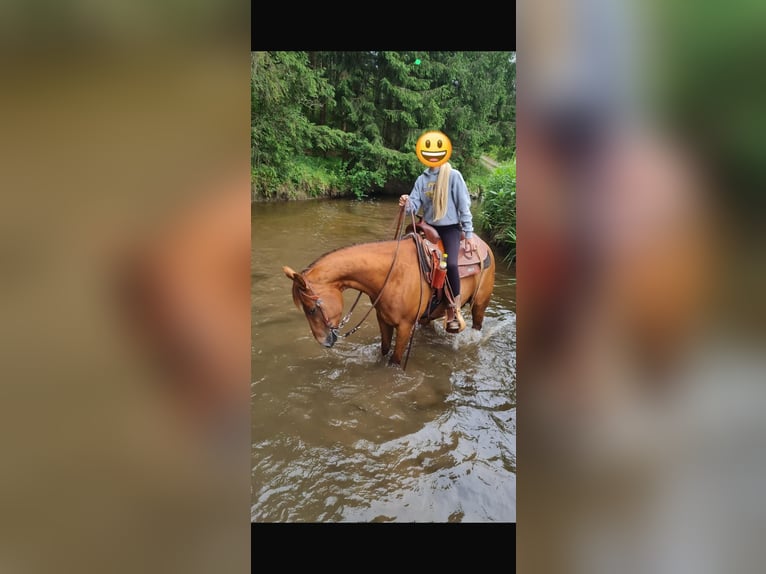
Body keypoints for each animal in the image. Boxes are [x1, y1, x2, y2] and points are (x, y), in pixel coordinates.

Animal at [282, 231, 496, 367]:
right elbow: (384, 350)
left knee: (477, 326)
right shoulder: (383, 319)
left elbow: (395, 360)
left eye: (311, 309)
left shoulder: (405, 326)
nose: (324, 342)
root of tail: (484, 245)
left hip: (479, 305)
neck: (392, 274)